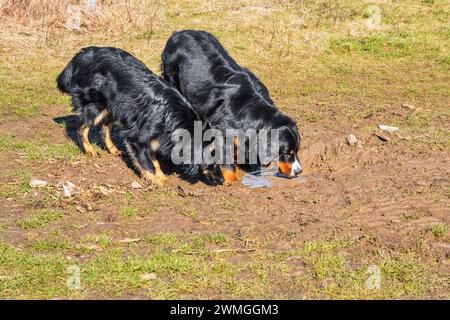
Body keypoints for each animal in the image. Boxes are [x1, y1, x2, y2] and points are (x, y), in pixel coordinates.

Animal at [57, 45, 224, 185]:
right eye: (213, 160)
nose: (222, 180)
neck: (173, 120)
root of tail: (81, 55)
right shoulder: (137, 138)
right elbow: (147, 162)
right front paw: (155, 180)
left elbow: (154, 159)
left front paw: (160, 175)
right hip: (96, 104)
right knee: (81, 128)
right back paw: (90, 150)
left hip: (113, 106)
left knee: (104, 129)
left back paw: (113, 149)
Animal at [162, 30, 302, 182]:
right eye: (287, 153)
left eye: (296, 151)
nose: (299, 171)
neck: (250, 111)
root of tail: (179, 33)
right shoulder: (221, 131)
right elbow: (228, 163)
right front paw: (231, 181)